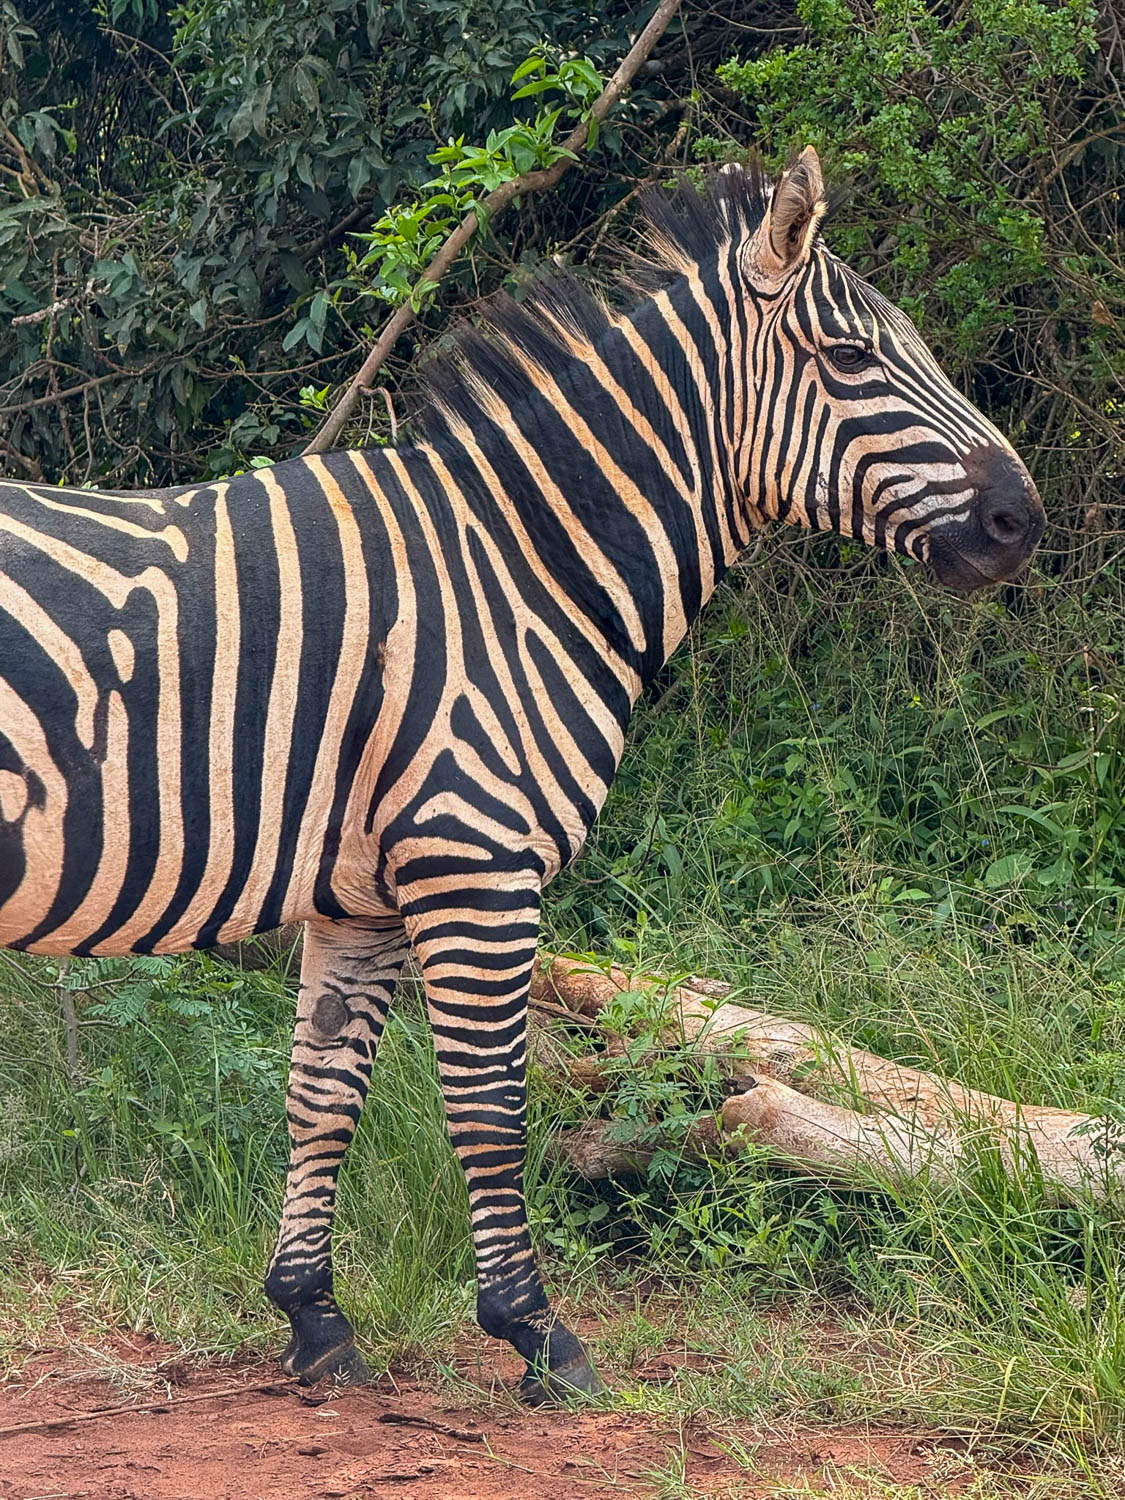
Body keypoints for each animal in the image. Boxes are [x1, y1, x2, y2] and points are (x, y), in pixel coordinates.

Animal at [0, 150, 1043, 1404]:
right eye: (850, 360)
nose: (1023, 518)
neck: (522, 570)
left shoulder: (360, 892)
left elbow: (320, 1095)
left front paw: (314, 1319)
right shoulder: (475, 856)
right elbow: (494, 1105)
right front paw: (537, 1332)